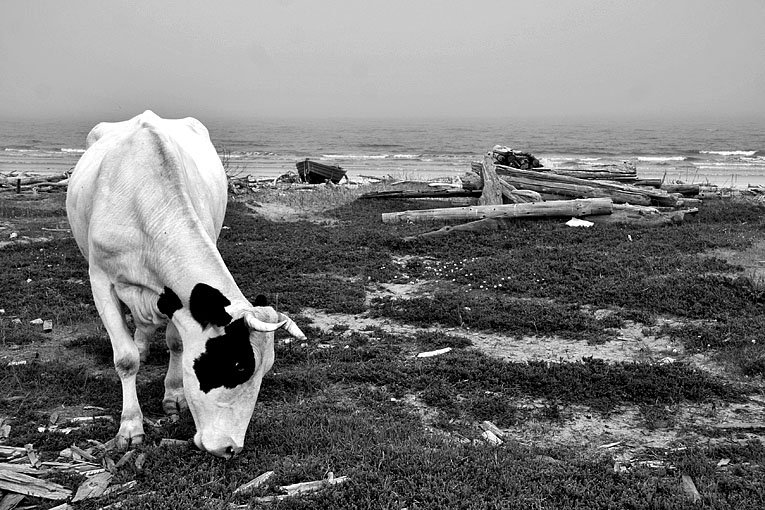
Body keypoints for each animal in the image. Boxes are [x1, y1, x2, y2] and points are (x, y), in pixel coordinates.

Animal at [65, 110, 304, 458]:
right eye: (237, 364)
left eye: (265, 369)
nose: (231, 448)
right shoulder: (100, 280)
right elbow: (125, 360)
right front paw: (130, 426)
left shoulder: (175, 298)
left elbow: (177, 343)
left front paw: (174, 394)